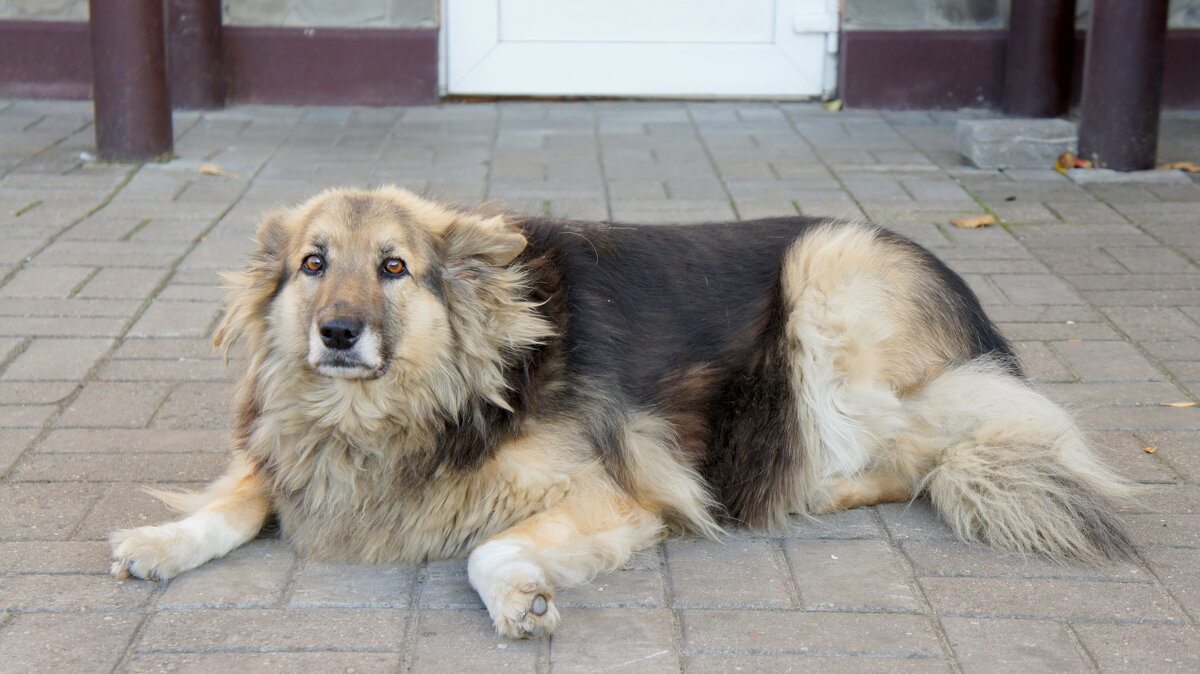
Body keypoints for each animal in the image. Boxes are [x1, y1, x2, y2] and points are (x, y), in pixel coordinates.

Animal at [110, 183, 1132, 633]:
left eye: (394, 267)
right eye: (313, 264)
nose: (337, 334)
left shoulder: (608, 496)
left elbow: (487, 549)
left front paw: (520, 594)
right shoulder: (290, 450)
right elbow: (234, 497)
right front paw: (164, 541)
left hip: (827, 279)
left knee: (937, 447)